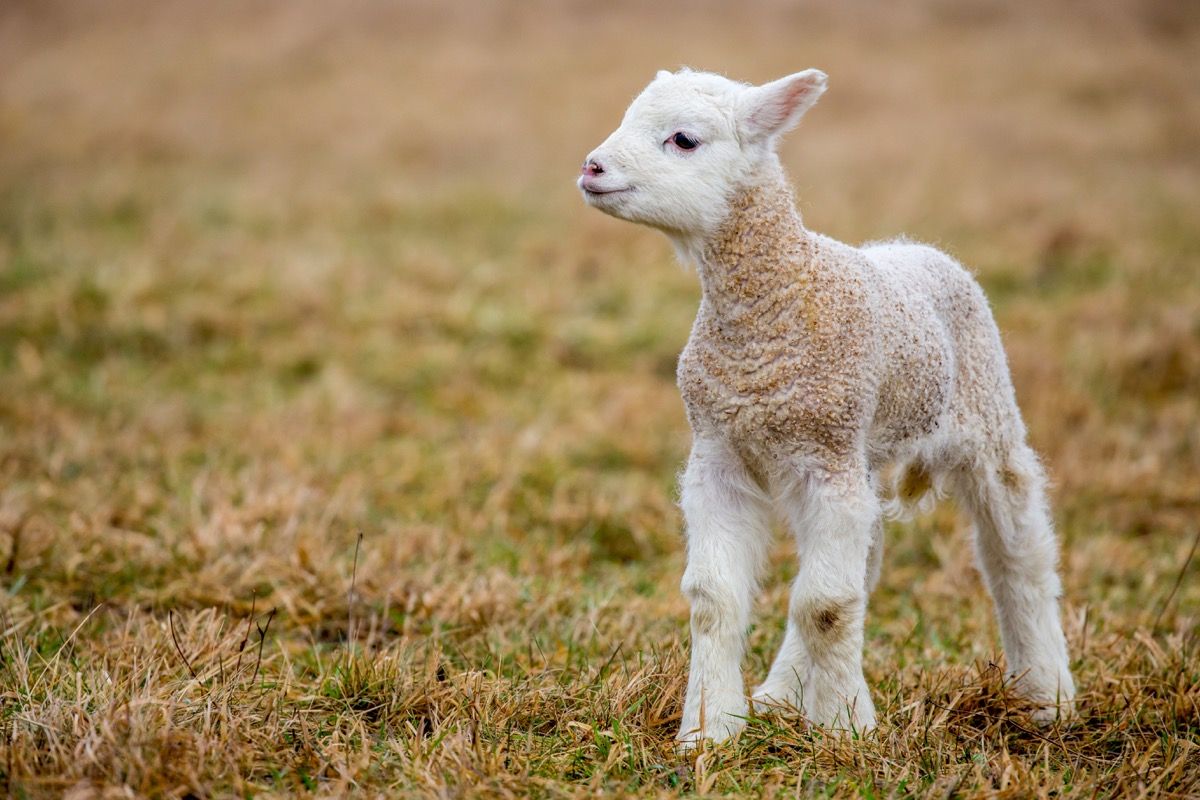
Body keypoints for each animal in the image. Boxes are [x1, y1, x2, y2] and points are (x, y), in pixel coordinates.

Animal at [576, 65, 1075, 748]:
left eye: (684, 139)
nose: (592, 167)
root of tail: (916, 246)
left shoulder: (825, 456)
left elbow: (826, 606)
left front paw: (844, 728)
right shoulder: (719, 454)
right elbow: (715, 600)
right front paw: (710, 730)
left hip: (984, 413)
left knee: (1017, 554)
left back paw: (1047, 695)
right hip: (858, 455)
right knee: (865, 564)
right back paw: (780, 696)